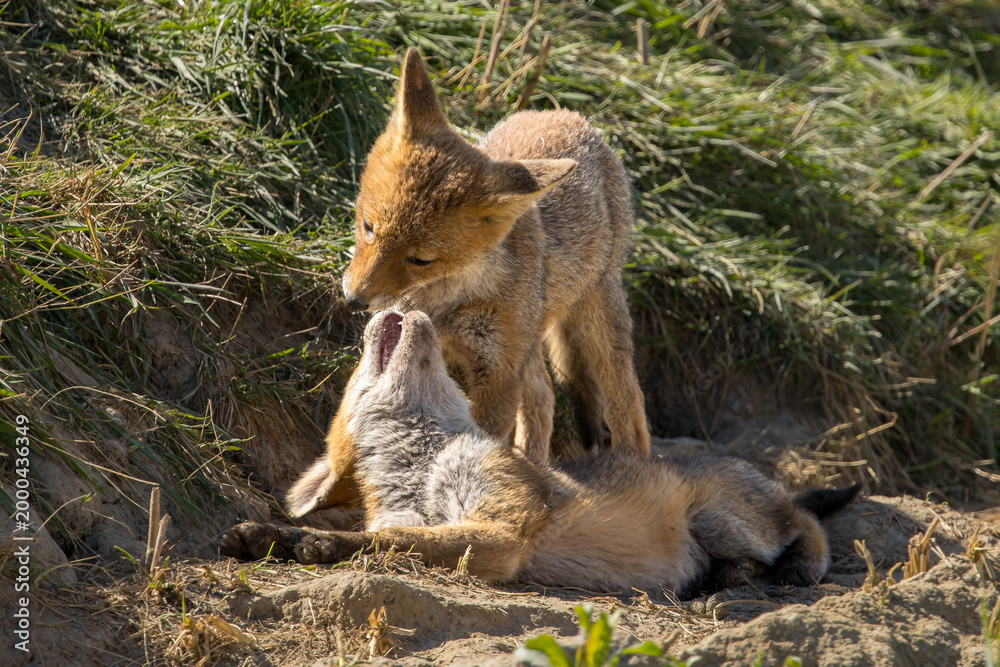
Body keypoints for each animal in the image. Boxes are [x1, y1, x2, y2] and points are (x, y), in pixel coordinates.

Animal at [221, 310, 860, 597]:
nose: (391, 306)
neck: (424, 470)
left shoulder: (502, 530)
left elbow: (386, 542)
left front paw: (309, 542)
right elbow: (389, 536)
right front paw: (273, 536)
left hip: (720, 516)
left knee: (805, 521)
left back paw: (797, 566)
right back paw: (721, 578)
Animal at [339, 48, 650, 469]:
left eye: (420, 260)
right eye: (368, 227)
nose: (353, 299)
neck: (445, 302)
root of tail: (565, 113)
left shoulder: (498, 374)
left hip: (595, 321)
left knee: (628, 403)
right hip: (530, 345)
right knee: (543, 394)